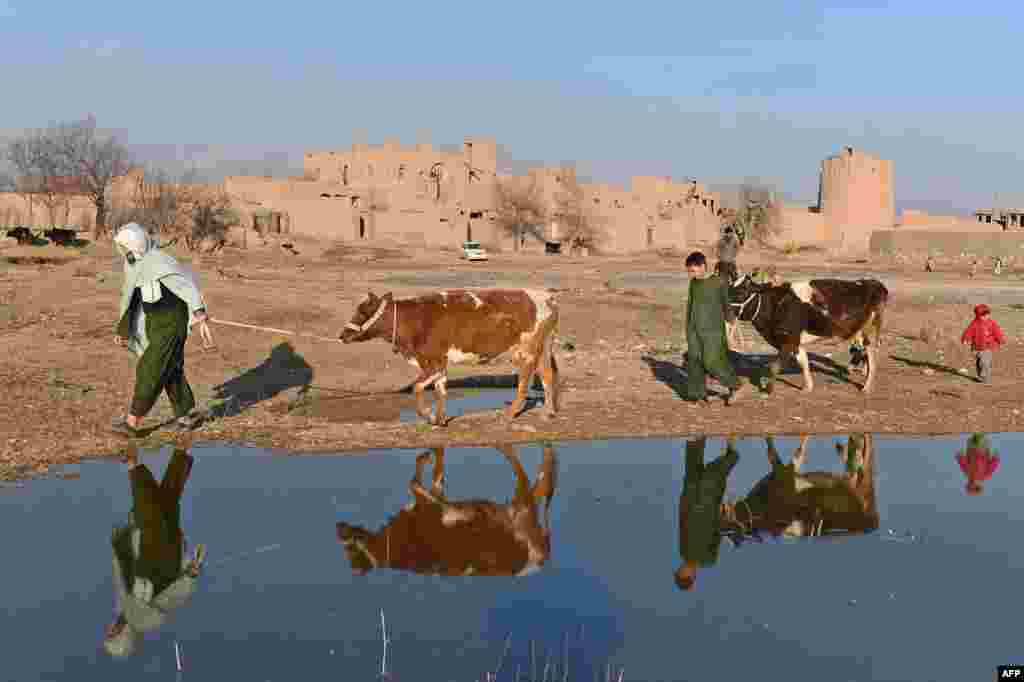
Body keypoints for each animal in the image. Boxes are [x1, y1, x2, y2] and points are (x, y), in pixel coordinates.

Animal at [335, 444, 557, 577]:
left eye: (351, 551)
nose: (338, 527)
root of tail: (541, 559)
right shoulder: (433, 497)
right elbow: (437, 475)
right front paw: (430, 456)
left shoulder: (429, 505)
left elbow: (414, 481)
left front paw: (426, 456)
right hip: (525, 508)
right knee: (540, 482)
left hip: (521, 510)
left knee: (524, 475)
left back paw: (505, 447)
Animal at [339, 286, 557, 425]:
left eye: (362, 311)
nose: (342, 335)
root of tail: (545, 296)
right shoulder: (438, 361)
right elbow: (440, 390)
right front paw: (441, 419)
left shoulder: (432, 360)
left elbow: (418, 387)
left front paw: (428, 416)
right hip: (543, 347)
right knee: (547, 374)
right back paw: (548, 412)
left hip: (526, 349)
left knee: (525, 378)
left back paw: (510, 414)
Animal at [729, 270, 888, 391]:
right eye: (730, 290)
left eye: (742, 292)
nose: (726, 309)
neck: (777, 304)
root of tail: (873, 283)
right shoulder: (795, 342)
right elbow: (803, 362)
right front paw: (808, 387)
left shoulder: (789, 339)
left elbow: (775, 366)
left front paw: (768, 389)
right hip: (859, 331)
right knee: (863, 352)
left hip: (869, 331)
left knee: (871, 354)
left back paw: (866, 386)